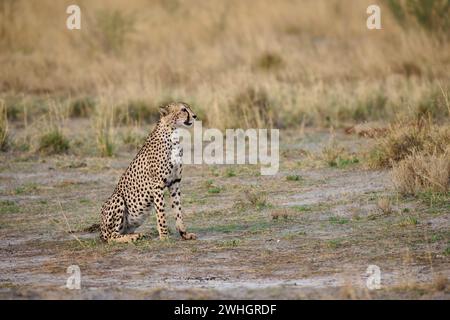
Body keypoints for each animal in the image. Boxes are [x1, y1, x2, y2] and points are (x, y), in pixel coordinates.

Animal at [101, 102, 198, 242]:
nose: (195, 116)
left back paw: (137, 235)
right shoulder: (158, 185)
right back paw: (134, 237)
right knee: (111, 237)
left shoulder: (175, 182)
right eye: (183, 110)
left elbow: (178, 210)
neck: (173, 135)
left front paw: (184, 233)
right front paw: (164, 236)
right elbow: (161, 212)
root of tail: (100, 232)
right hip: (117, 198)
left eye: (189, 108)